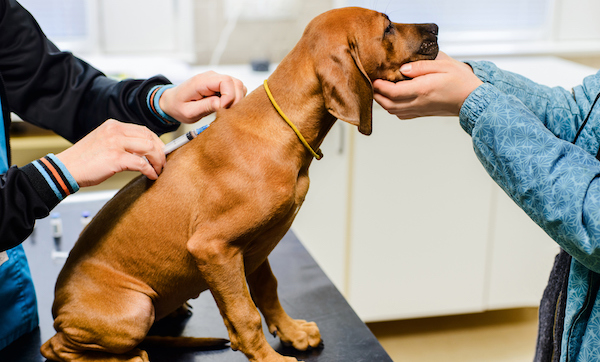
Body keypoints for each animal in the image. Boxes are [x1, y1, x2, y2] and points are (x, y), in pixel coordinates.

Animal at [41, 6, 436, 362]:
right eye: (387, 27)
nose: (434, 26)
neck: (282, 128)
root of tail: (58, 310)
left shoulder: (256, 247)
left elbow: (268, 291)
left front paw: (292, 332)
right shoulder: (213, 249)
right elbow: (244, 316)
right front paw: (270, 359)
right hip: (135, 308)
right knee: (56, 348)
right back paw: (128, 356)